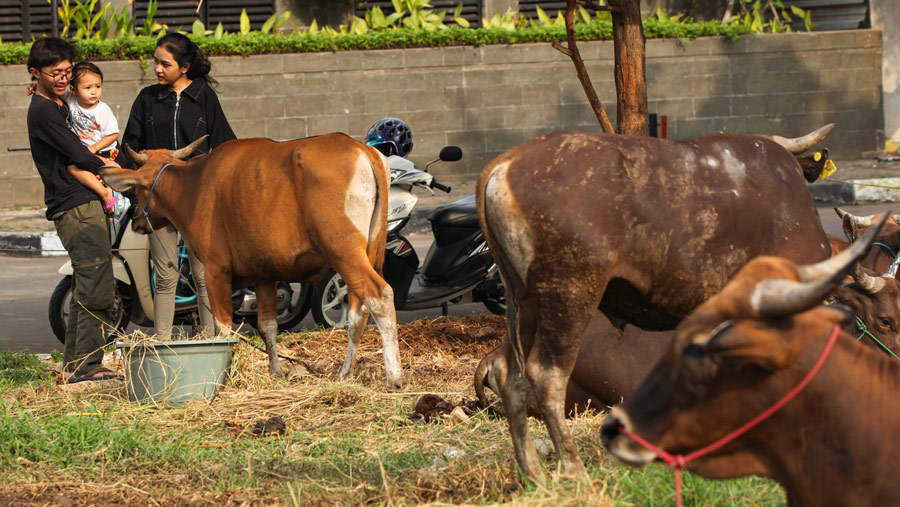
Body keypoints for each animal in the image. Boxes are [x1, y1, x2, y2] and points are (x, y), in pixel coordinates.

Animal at [101, 135, 404, 388]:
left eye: (138, 191)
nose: (136, 220)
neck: (195, 185)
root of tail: (364, 150)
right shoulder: (264, 277)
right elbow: (268, 326)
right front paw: (276, 372)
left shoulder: (215, 271)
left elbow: (224, 328)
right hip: (365, 252)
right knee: (357, 312)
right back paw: (345, 373)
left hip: (342, 250)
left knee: (380, 296)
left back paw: (394, 377)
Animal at [478, 124, 836, 484]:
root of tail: (504, 165)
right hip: (569, 295)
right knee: (547, 376)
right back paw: (574, 469)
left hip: (523, 302)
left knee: (509, 373)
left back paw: (533, 472)